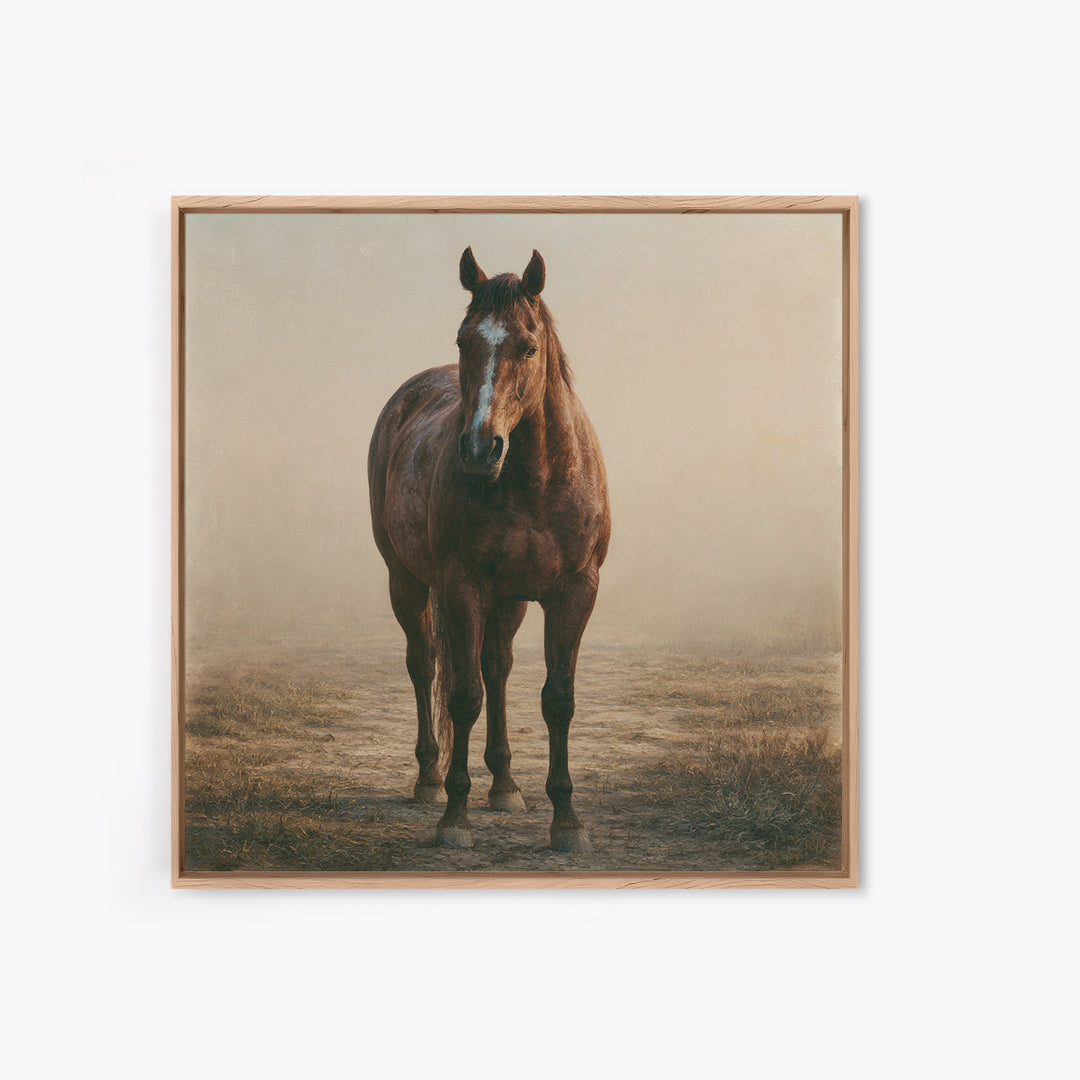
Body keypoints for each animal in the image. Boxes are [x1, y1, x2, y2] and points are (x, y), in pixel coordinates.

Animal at [368, 248, 611, 852]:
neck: (535, 482)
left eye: (528, 345)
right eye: (463, 341)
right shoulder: (462, 586)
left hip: (510, 600)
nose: (480, 449)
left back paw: (503, 783)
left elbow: (557, 698)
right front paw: (455, 818)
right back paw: (430, 778)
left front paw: (566, 820)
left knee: (496, 665)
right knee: (425, 663)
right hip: (406, 582)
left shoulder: (575, 590)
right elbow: (462, 696)